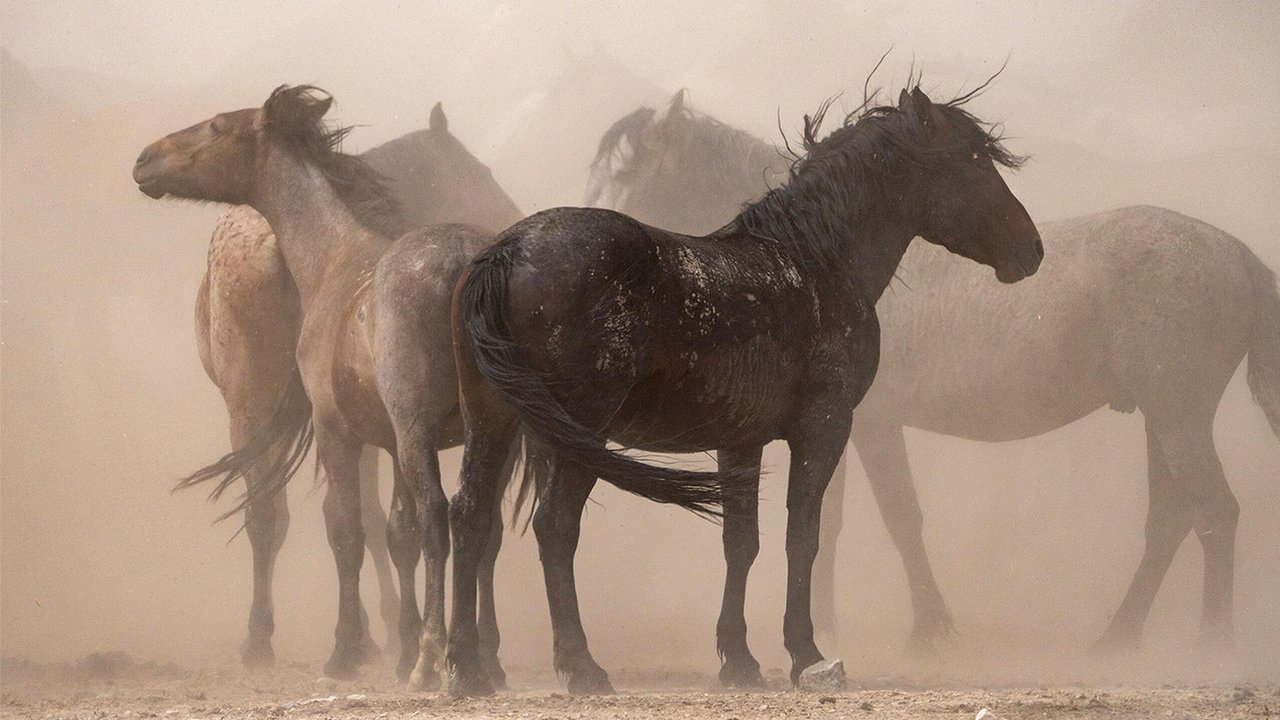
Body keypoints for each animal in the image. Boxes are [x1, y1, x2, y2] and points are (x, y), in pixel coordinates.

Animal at [133, 87, 519, 686]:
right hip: (492, 433)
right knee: (476, 519)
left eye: (217, 126)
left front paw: (346, 651)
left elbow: (348, 530)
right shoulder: (381, 437)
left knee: (427, 515)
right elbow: (395, 531)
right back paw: (469, 663)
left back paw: (425, 658)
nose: (144, 160)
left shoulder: (340, 429)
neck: (335, 255)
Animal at [445, 85, 1044, 696]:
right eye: (973, 163)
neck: (813, 260)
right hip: (578, 433)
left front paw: (739, 660)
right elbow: (803, 537)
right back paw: (581, 666)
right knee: (554, 527)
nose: (1031, 248)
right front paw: (804, 653)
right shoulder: (825, 427)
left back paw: (467, 668)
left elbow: (742, 543)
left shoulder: (740, 441)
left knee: (469, 517)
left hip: (492, 422)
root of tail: (508, 251)